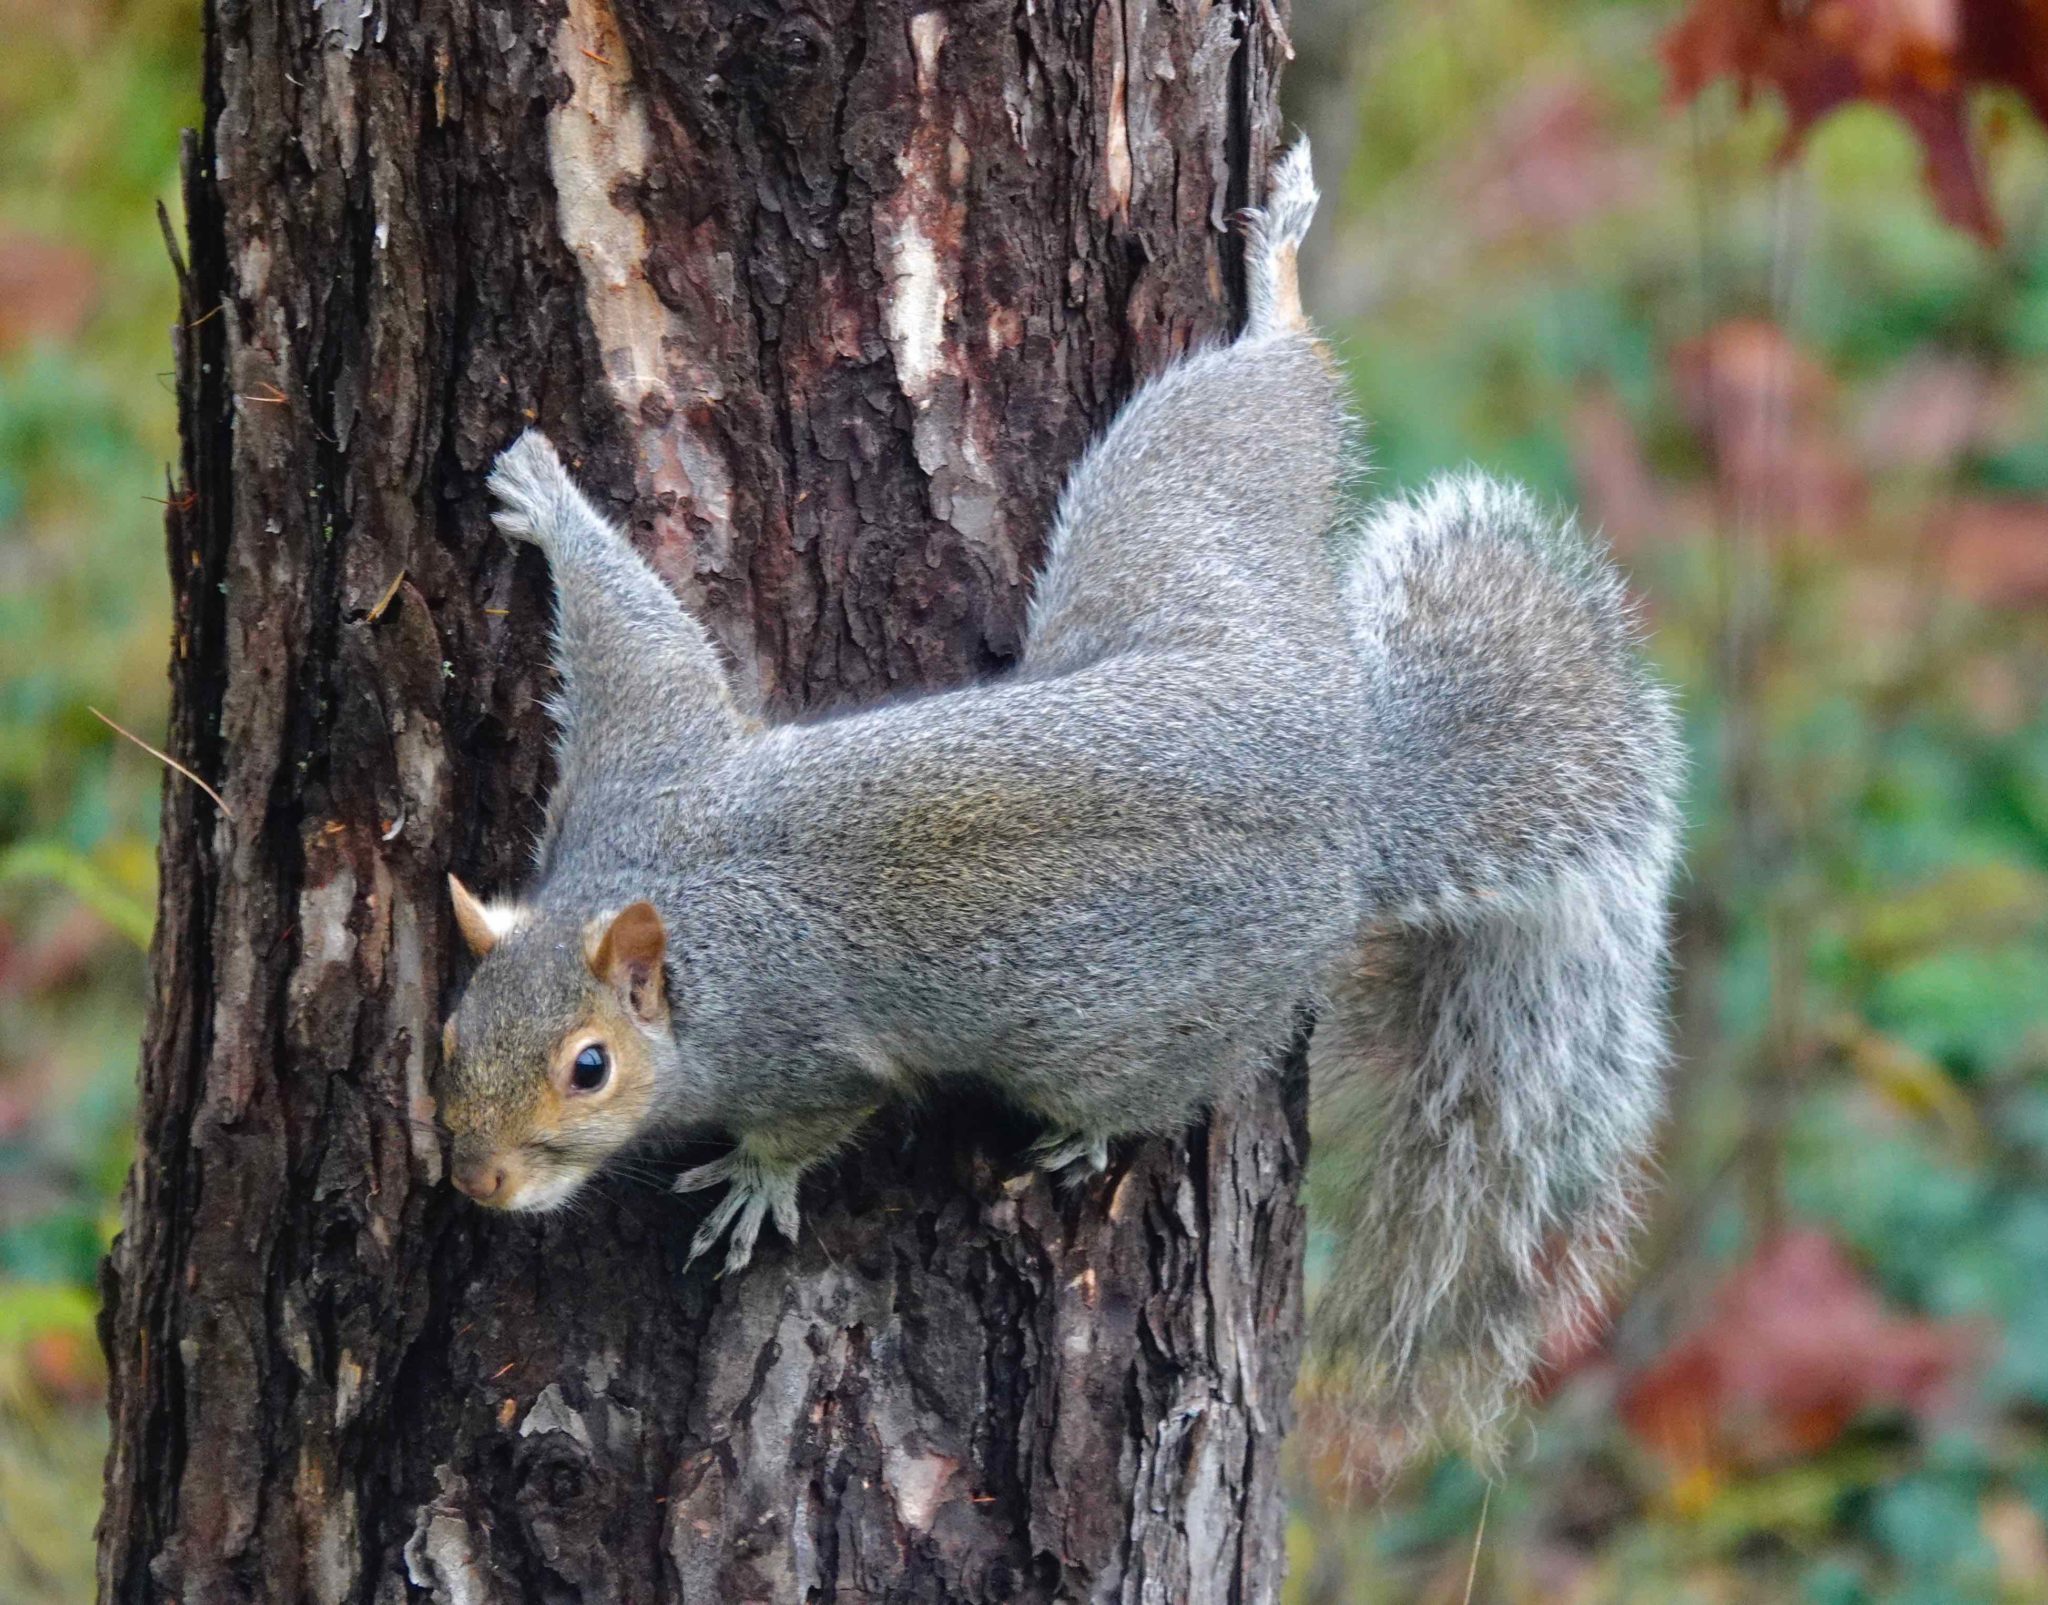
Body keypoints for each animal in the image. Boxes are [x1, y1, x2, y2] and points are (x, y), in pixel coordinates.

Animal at [432, 141, 1679, 1457]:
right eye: (452, 1030)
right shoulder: (633, 778)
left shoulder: (796, 1040)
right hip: (1184, 550)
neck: (669, 910)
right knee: (1249, 421)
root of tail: (1353, 790)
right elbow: (641, 636)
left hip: (1135, 1009)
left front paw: (755, 1186)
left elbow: (812, 1117)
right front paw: (544, 498)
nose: (477, 1181)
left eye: (589, 1069)